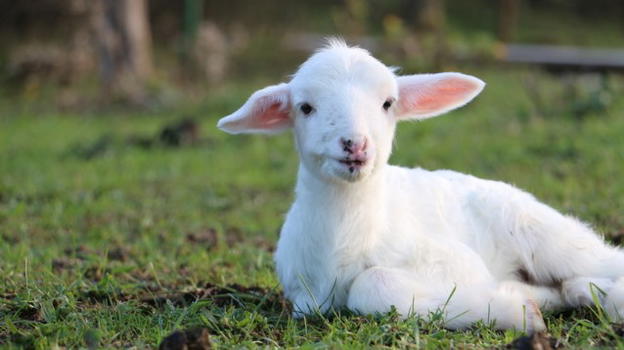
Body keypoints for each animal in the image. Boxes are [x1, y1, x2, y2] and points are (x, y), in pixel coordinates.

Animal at [217, 39, 624, 332]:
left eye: (387, 103)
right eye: (305, 107)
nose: (355, 145)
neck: (346, 239)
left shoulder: (455, 262)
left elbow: (373, 283)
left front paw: (517, 311)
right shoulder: (304, 298)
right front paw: (520, 304)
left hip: (546, 235)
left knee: (605, 260)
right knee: (569, 283)